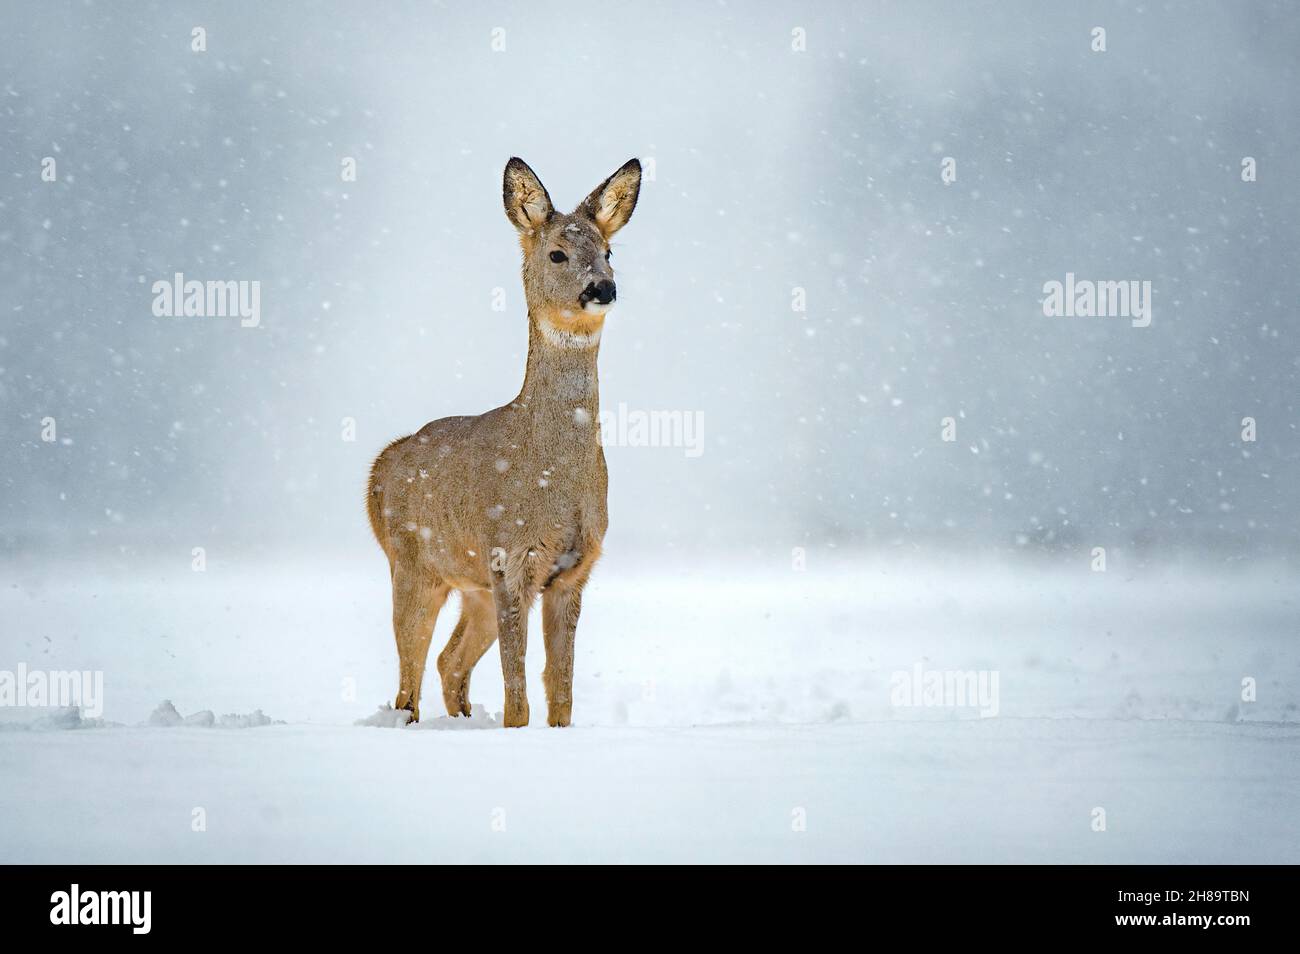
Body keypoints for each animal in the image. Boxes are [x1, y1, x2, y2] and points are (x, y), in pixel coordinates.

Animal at [366, 157, 639, 727]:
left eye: (609, 251)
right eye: (557, 252)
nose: (602, 288)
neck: (550, 474)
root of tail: (381, 465)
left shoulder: (573, 571)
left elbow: (562, 689)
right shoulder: (510, 557)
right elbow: (519, 693)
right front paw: (515, 731)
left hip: (470, 586)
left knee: (448, 661)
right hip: (411, 563)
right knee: (408, 680)